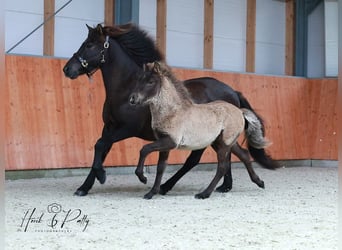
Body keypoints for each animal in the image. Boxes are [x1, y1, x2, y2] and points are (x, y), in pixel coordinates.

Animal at [130, 62, 272, 199]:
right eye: (139, 80)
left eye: (151, 82)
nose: (132, 99)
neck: (172, 112)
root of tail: (240, 111)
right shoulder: (164, 144)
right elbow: (160, 168)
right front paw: (151, 193)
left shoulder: (170, 141)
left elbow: (145, 149)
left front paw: (142, 178)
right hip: (223, 142)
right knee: (244, 155)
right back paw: (259, 182)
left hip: (223, 144)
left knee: (222, 166)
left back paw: (204, 194)